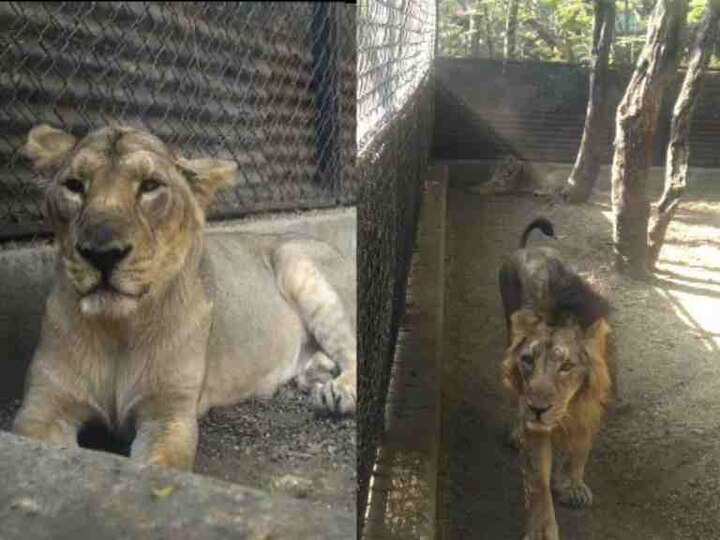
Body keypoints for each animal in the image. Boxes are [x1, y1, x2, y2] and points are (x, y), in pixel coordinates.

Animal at [11, 123, 358, 472]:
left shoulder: (170, 415)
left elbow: (162, 465)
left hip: (295, 258)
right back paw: (316, 373)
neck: (118, 329)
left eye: (150, 186)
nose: (101, 252)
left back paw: (336, 394)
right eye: (74, 185)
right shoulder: (42, 408)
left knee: (354, 350)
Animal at [498, 218, 612, 540]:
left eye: (567, 366)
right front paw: (541, 529)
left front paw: (571, 484)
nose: (538, 409)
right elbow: (538, 480)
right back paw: (517, 430)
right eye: (528, 361)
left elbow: (580, 448)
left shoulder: (592, 405)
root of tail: (526, 249)